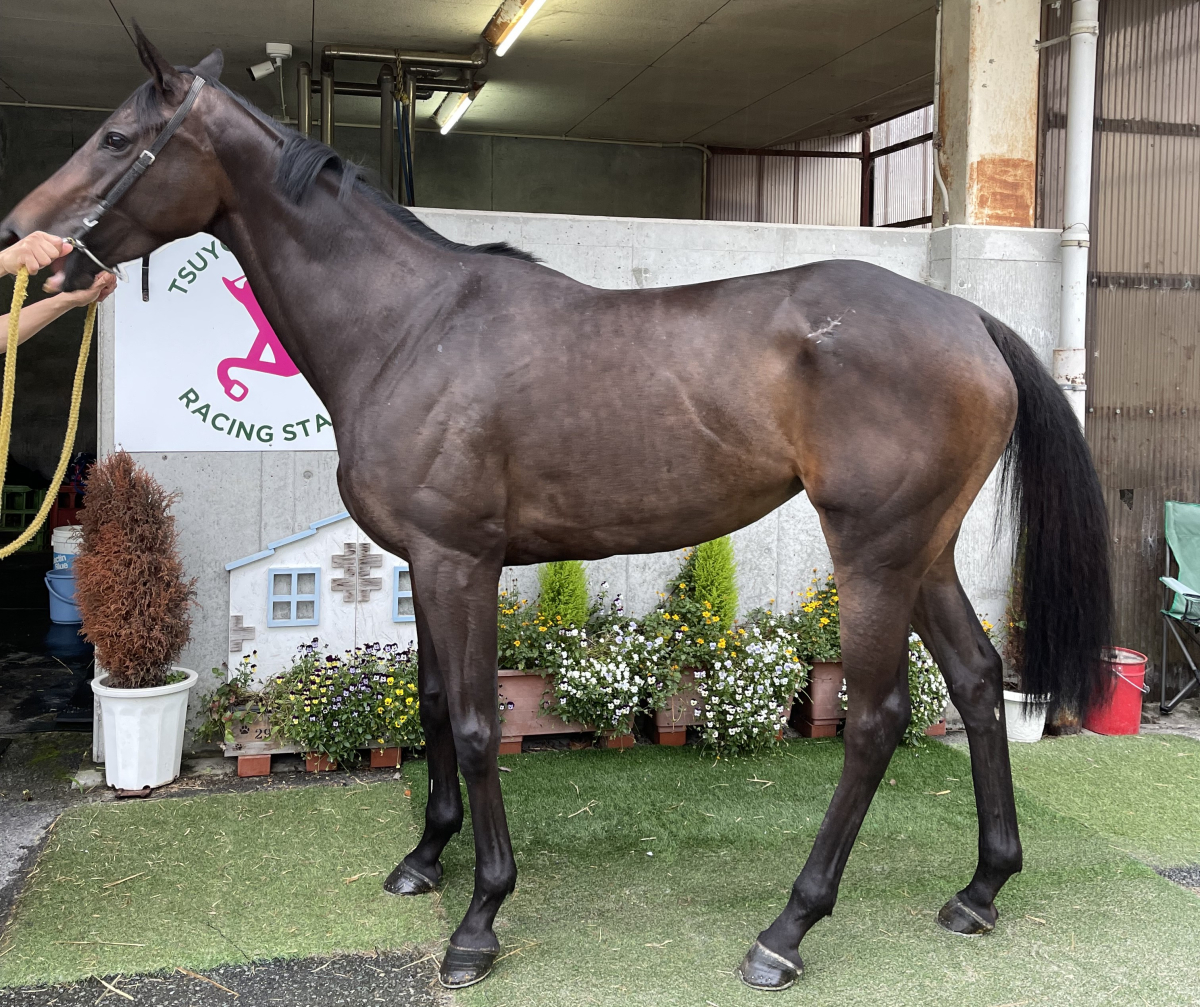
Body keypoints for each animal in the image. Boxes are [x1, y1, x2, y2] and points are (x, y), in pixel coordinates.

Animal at [0, 29, 1112, 992]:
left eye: (115, 139)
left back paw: (787, 929)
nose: (18, 236)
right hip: (924, 549)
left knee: (877, 720)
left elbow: (479, 721)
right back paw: (980, 887)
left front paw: (480, 919)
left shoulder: (459, 558)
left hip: (874, 551)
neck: (409, 327)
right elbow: (435, 705)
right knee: (978, 679)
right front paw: (425, 856)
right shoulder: (425, 560)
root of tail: (966, 316)